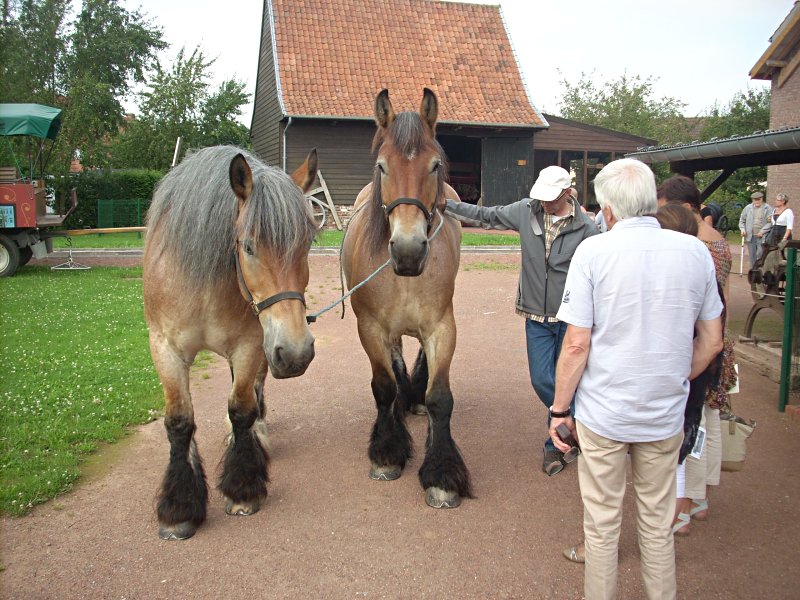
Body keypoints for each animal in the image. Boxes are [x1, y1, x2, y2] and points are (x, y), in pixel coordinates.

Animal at [142, 145, 318, 540]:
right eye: (249, 246)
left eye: (307, 244)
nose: (297, 353)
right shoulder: (165, 348)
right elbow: (179, 421)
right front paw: (179, 508)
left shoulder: (253, 344)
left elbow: (242, 408)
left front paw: (243, 487)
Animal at [340, 89, 472, 508]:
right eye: (382, 166)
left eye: (435, 165)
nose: (409, 250)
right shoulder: (371, 329)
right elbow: (383, 386)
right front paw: (387, 451)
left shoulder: (442, 328)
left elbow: (441, 398)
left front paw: (442, 474)